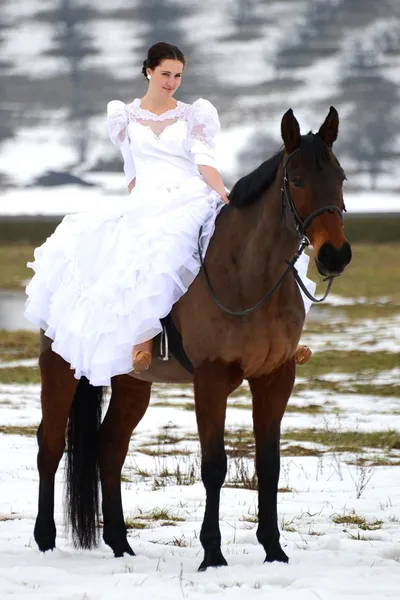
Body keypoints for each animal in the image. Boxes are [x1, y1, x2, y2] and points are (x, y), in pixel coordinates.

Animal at [36, 108, 352, 572]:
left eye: (341, 177)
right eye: (296, 180)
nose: (335, 256)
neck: (247, 276)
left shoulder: (275, 378)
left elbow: (270, 464)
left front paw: (274, 550)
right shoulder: (211, 379)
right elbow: (214, 465)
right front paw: (213, 554)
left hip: (133, 382)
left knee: (109, 447)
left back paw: (120, 543)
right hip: (60, 370)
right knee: (50, 446)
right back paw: (44, 541)